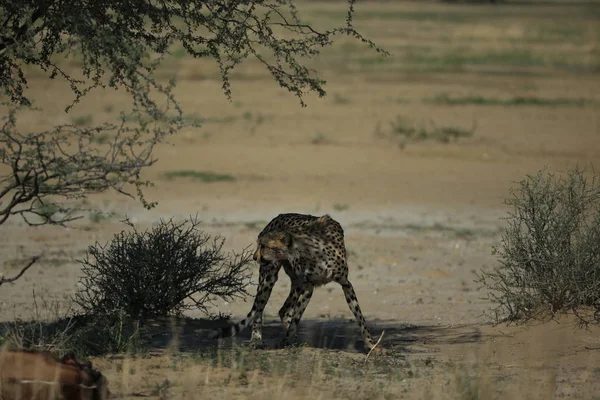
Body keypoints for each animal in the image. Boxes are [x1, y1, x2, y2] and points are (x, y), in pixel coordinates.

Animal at [213, 212, 378, 350]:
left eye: (264, 246)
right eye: (260, 245)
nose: (254, 257)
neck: (311, 250)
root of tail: (277, 217)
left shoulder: (344, 283)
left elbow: (359, 316)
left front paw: (372, 345)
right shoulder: (308, 286)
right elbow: (296, 317)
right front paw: (285, 340)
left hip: (297, 283)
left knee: (284, 310)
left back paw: (295, 340)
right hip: (269, 278)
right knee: (259, 310)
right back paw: (257, 340)